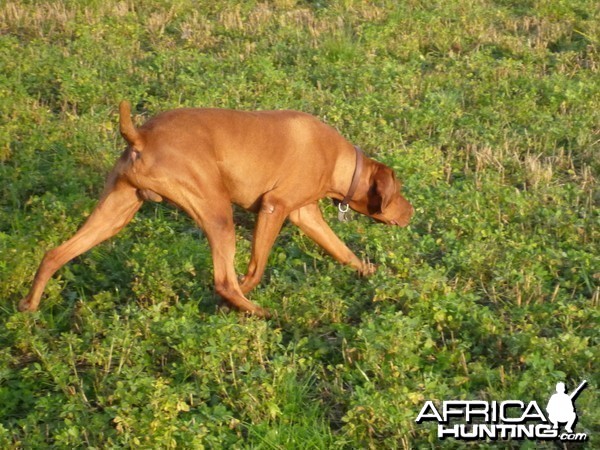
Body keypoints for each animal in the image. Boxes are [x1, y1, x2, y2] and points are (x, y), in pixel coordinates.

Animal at [18, 103, 412, 318]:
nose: (411, 213)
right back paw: (257, 312)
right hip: (218, 213)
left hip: (114, 214)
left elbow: (343, 251)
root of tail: (141, 136)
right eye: (400, 192)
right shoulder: (274, 207)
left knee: (54, 254)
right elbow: (254, 268)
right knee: (224, 280)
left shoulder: (306, 215)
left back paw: (29, 306)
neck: (340, 161)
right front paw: (240, 297)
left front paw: (368, 271)